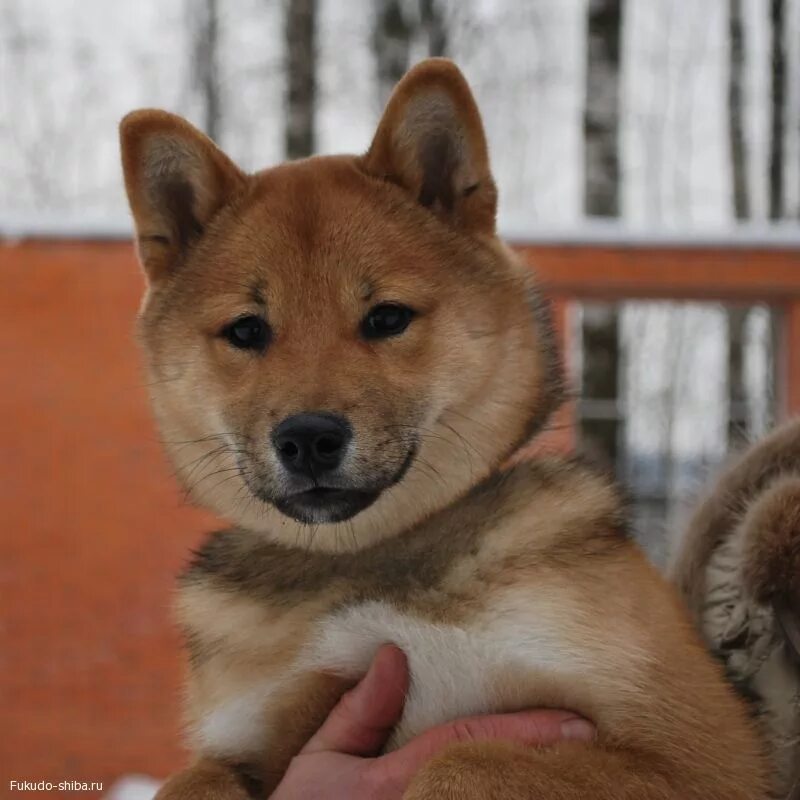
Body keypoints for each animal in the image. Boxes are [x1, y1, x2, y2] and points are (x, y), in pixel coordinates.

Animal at [120, 59, 768, 796]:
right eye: (247, 331)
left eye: (387, 317)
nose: (307, 438)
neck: (367, 562)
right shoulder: (244, 738)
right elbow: (192, 781)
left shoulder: (701, 755)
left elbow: (460, 758)